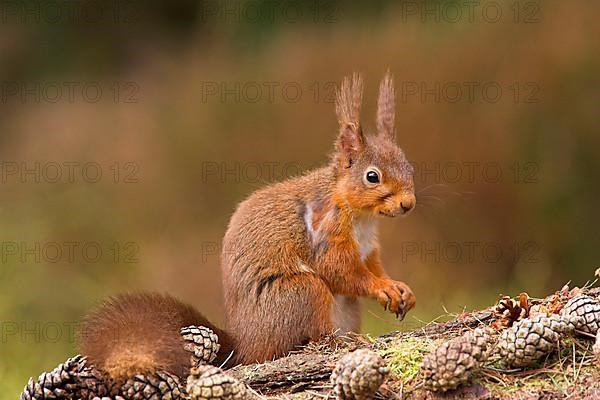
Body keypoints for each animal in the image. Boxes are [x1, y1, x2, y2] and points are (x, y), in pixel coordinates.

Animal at [81, 73, 418, 382]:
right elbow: (340, 271)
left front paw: (399, 287)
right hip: (300, 293)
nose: (408, 204)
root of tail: (245, 345)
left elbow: (372, 266)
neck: (362, 218)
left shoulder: (368, 248)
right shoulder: (326, 233)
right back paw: (333, 343)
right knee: (311, 332)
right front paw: (382, 288)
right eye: (372, 176)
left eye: (410, 167)